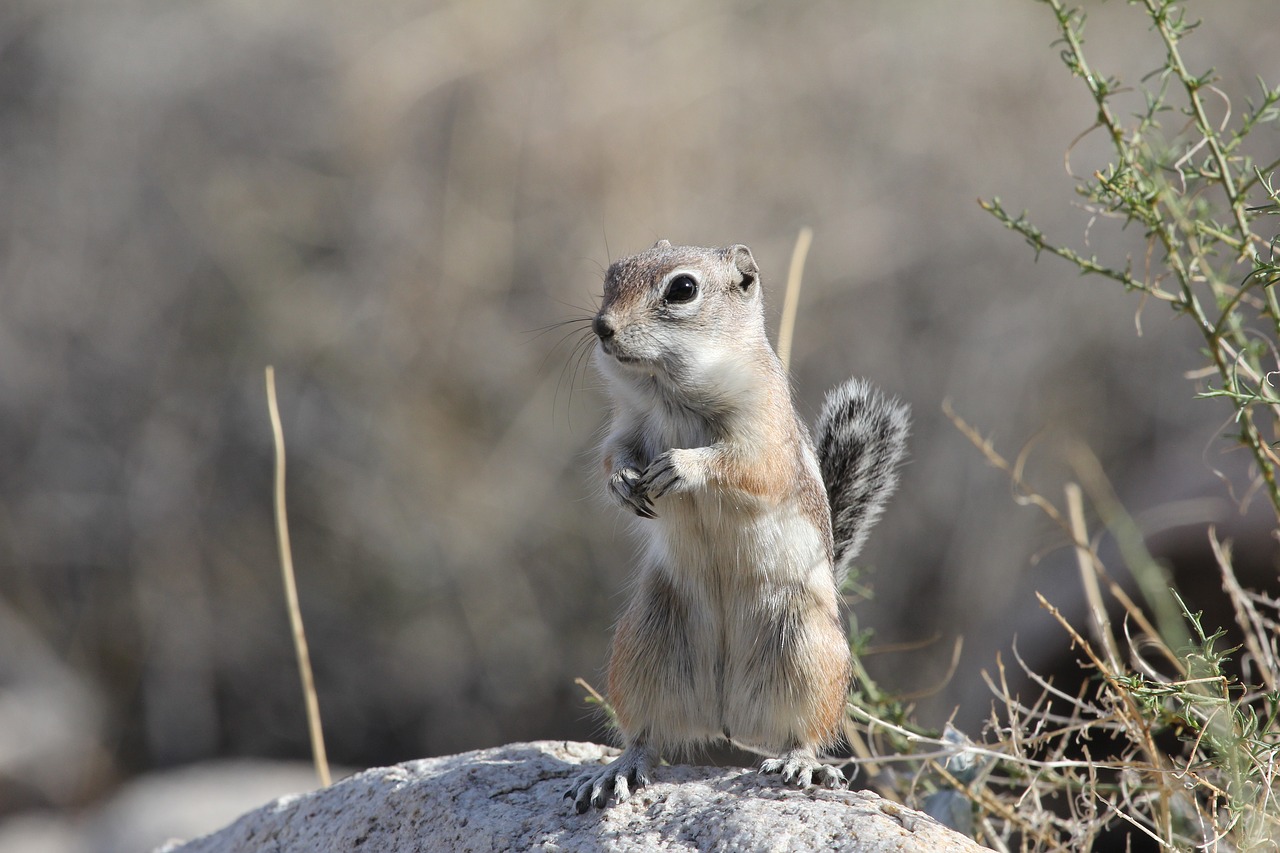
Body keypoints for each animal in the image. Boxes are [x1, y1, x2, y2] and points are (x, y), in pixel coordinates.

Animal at [568, 239, 911, 809]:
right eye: (613, 274)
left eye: (682, 289)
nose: (602, 327)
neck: (668, 388)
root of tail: (726, 720)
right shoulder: (627, 424)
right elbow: (611, 456)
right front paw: (623, 482)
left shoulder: (763, 434)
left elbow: (747, 467)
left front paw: (682, 466)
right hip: (643, 645)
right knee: (647, 734)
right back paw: (617, 768)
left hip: (807, 651)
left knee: (807, 730)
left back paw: (802, 763)